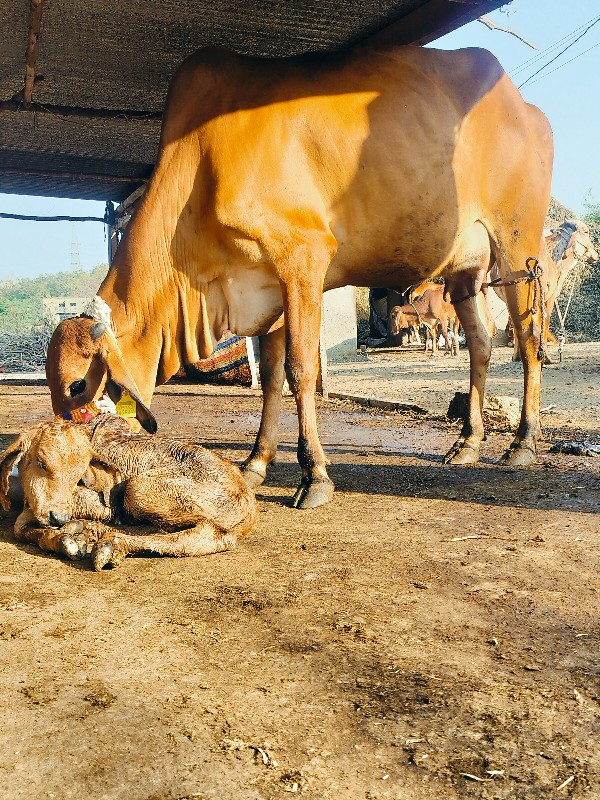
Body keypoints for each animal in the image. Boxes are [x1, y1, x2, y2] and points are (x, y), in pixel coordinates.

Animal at [0, 412, 255, 568]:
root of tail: (249, 502)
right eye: (40, 463)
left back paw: (110, 544)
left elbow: (20, 525)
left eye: (78, 474)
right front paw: (67, 536)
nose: (59, 517)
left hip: (138, 488)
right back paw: (92, 530)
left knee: (208, 535)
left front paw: (67, 537)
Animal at [43, 43, 552, 506]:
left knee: (528, 339)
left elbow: (300, 367)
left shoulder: (303, 260)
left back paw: (522, 442)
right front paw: (255, 463)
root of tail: (525, 107)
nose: (76, 472)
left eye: (77, 386)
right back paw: (467, 442)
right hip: (465, 270)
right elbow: (270, 377)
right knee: (481, 341)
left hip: (518, 247)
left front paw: (314, 475)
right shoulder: (264, 287)